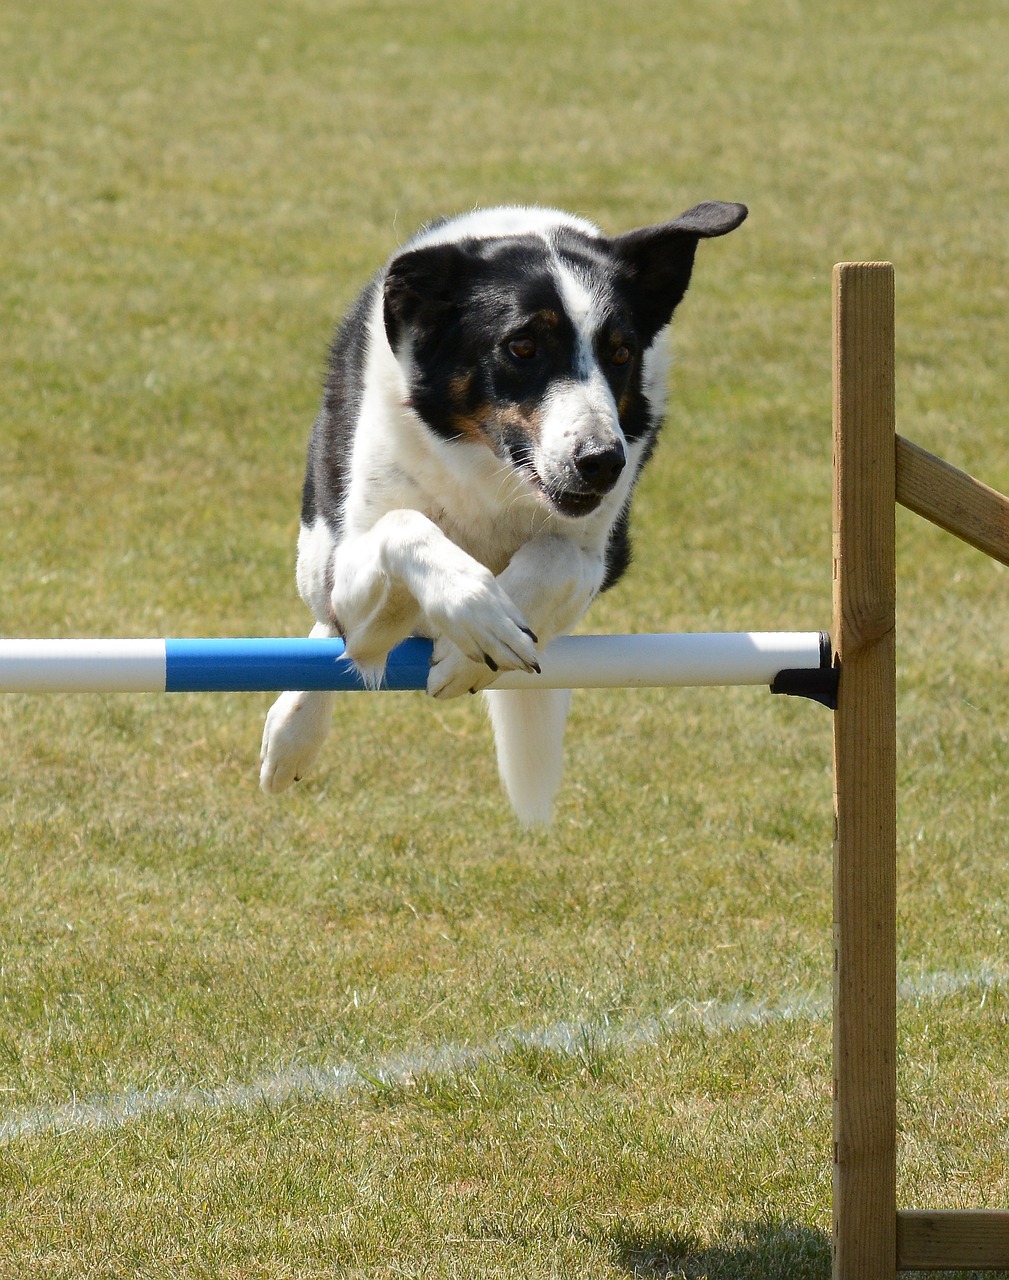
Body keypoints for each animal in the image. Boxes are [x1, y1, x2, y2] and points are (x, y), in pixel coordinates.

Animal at [259, 198, 747, 819]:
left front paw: (471, 650)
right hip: (316, 551)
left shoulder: (602, 553)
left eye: (621, 353)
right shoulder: (352, 569)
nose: (602, 462)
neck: (493, 472)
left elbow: (555, 558)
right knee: (328, 624)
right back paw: (293, 735)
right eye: (522, 347)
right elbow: (404, 531)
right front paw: (475, 610)